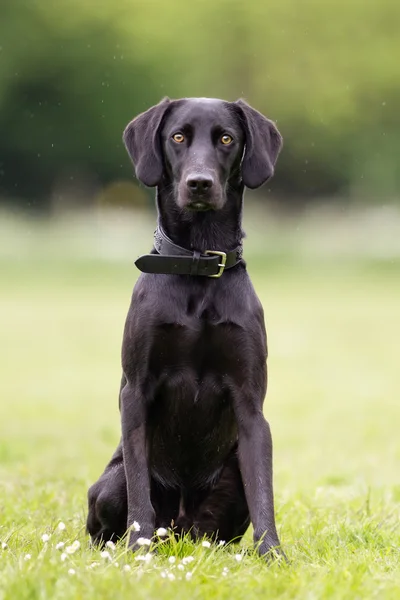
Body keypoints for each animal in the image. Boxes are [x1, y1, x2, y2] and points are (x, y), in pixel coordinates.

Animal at [86, 96, 284, 560]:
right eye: (178, 136)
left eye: (227, 139)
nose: (199, 184)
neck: (198, 263)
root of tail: (179, 529)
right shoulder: (136, 392)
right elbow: (139, 489)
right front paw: (138, 548)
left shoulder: (251, 404)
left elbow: (263, 492)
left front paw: (273, 555)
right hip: (108, 485)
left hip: (226, 492)